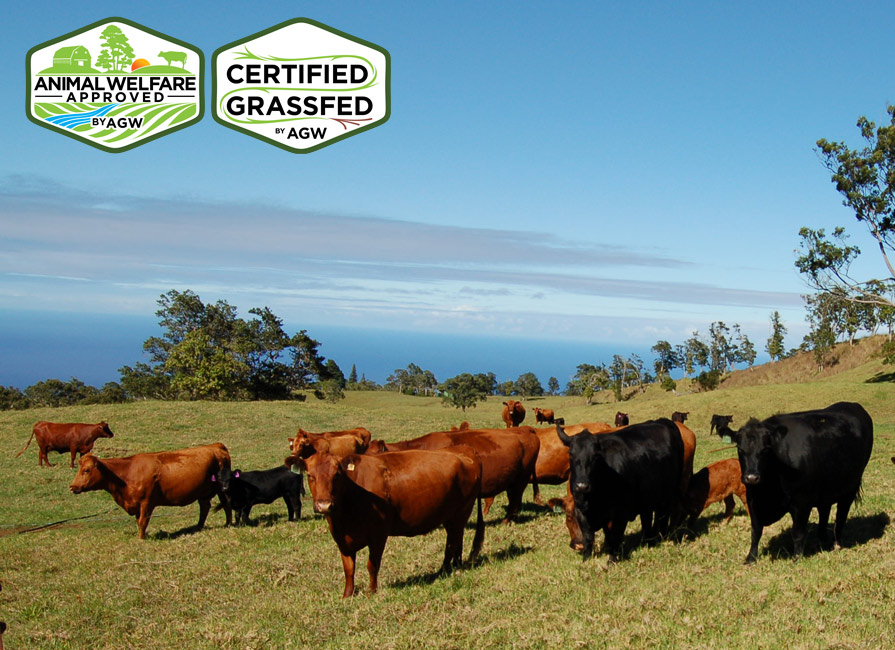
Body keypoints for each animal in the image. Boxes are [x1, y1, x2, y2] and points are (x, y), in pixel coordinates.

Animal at [68, 440, 233, 536]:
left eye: (86, 470)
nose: (72, 486)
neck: (127, 473)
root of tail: (216, 446)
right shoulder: (136, 504)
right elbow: (138, 521)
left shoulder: (146, 502)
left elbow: (143, 521)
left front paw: (141, 539)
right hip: (202, 492)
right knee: (205, 507)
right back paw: (198, 527)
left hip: (222, 488)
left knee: (226, 504)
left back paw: (228, 524)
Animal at [296, 448, 486, 596]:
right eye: (310, 475)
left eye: (336, 475)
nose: (324, 505)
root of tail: (467, 453)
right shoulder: (342, 540)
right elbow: (349, 569)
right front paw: (347, 595)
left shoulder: (378, 535)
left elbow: (372, 565)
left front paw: (371, 592)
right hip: (450, 517)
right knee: (453, 541)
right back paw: (447, 569)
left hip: (461, 513)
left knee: (455, 541)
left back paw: (452, 568)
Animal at [556, 418, 684, 560]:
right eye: (571, 454)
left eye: (596, 456)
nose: (582, 485)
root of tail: (662, 421)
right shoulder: (581, 512)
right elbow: (588, 538)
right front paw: (586, 560)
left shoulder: (621, 513)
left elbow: (614, 537)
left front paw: (611, 560)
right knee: (647, 517)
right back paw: (647, 540)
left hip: (669, 492)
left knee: (663, 515)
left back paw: (662, 536)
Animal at [728, 400, 876, 560]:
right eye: (740, 449)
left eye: (765, 450)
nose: (752, 477)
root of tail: (853, 405)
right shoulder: (752, 499)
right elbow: (756, 531)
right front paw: (751, 558)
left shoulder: (802, 502)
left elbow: (798, 533)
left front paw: (797, 557)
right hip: (825, 488)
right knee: (824, 511)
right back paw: (822, 540)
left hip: (851, 486)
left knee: (841, 514)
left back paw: (836, 543)